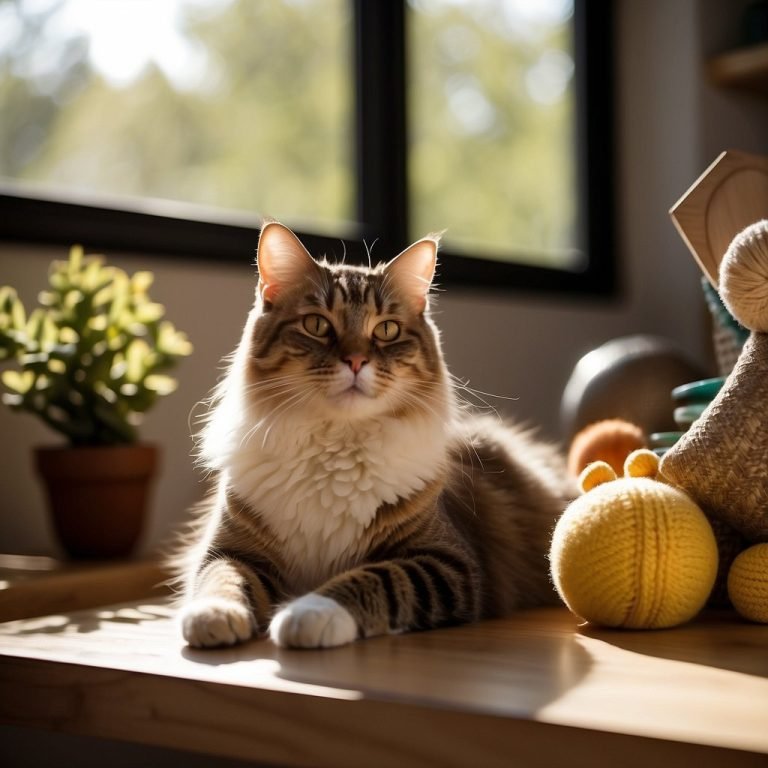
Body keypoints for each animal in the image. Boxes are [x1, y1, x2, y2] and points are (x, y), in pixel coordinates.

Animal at [178, 222, 576, 648]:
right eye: (317, 325)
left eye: (386, 330)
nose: (356, 361)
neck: (334, 446)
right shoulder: (230, 550)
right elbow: (220, 580)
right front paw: (213, 617)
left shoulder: (446, 561)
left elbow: (376, 579)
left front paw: (308, 613)